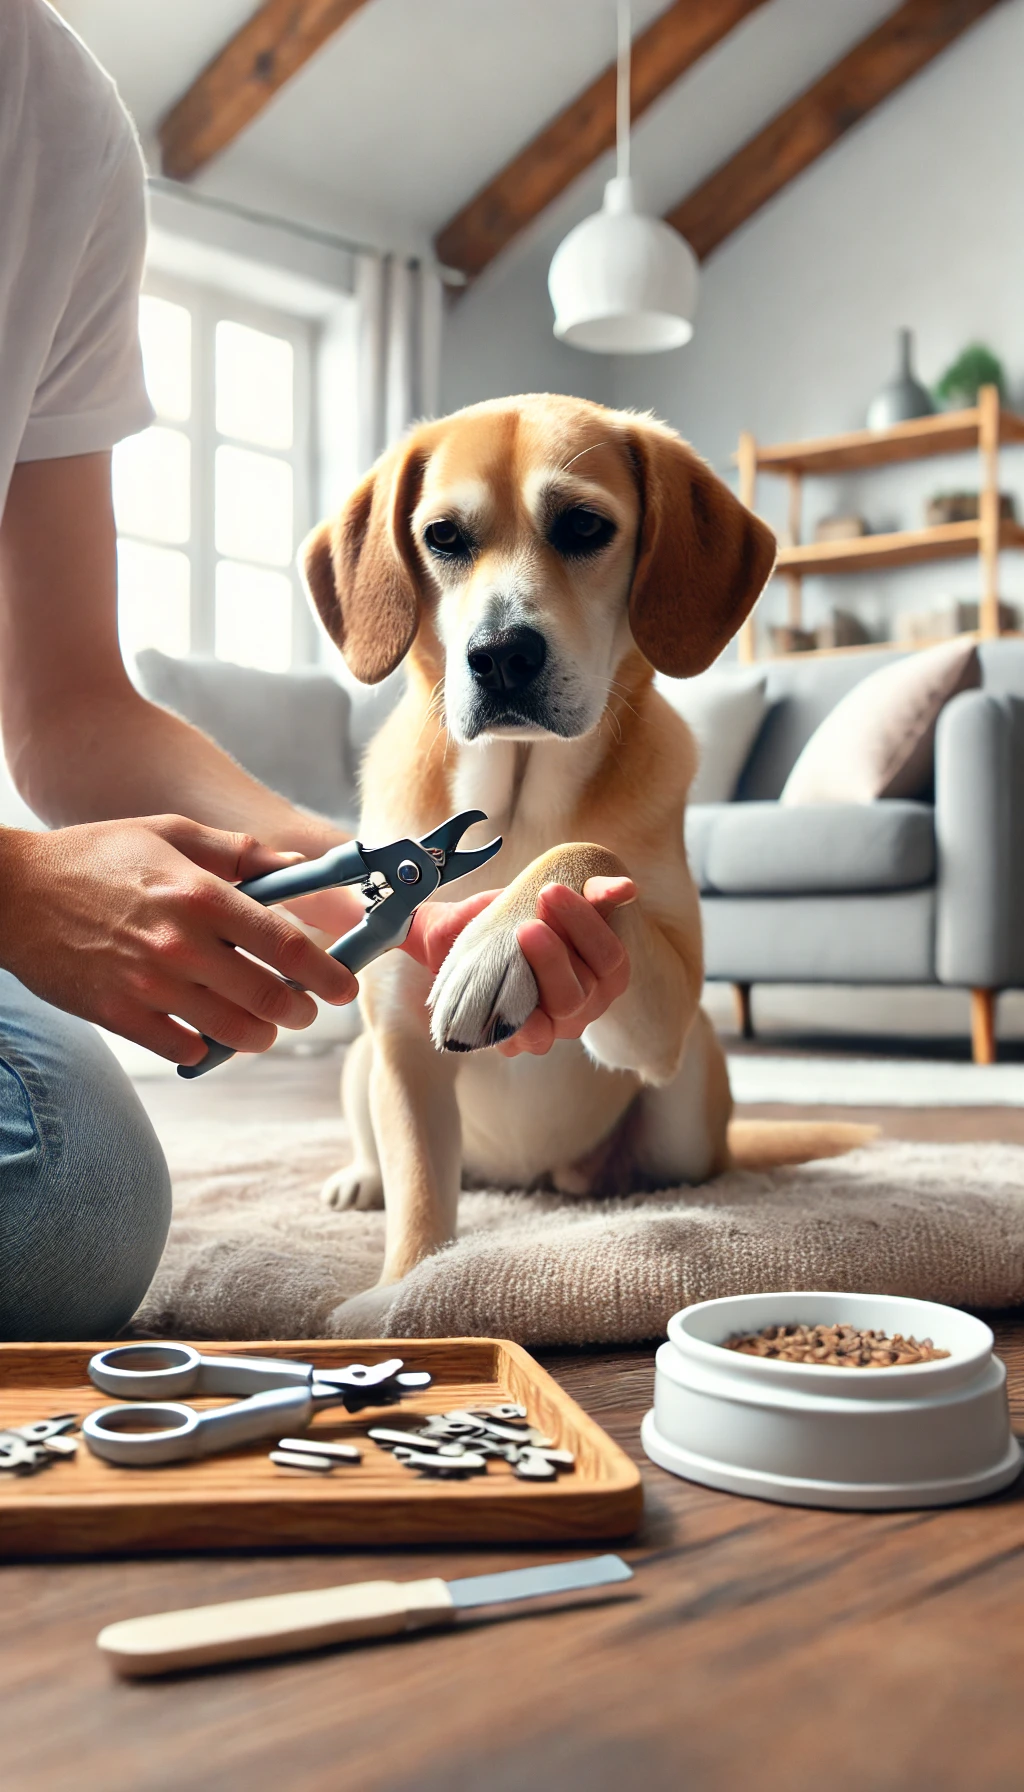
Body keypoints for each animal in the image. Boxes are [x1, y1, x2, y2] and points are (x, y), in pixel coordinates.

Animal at [301, 396, 867, 1333]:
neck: (519, 797)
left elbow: (589, 850)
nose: (500, 654)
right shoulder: (403, 1052)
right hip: (360, 1065)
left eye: (583, 526)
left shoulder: (659, 1017)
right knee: (387, 1152)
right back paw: (358, 1177)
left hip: (687, 1084)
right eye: (443, 536)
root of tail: (529, 1179)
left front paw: (500, 941)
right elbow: (421, 1196)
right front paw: (400, 1292)